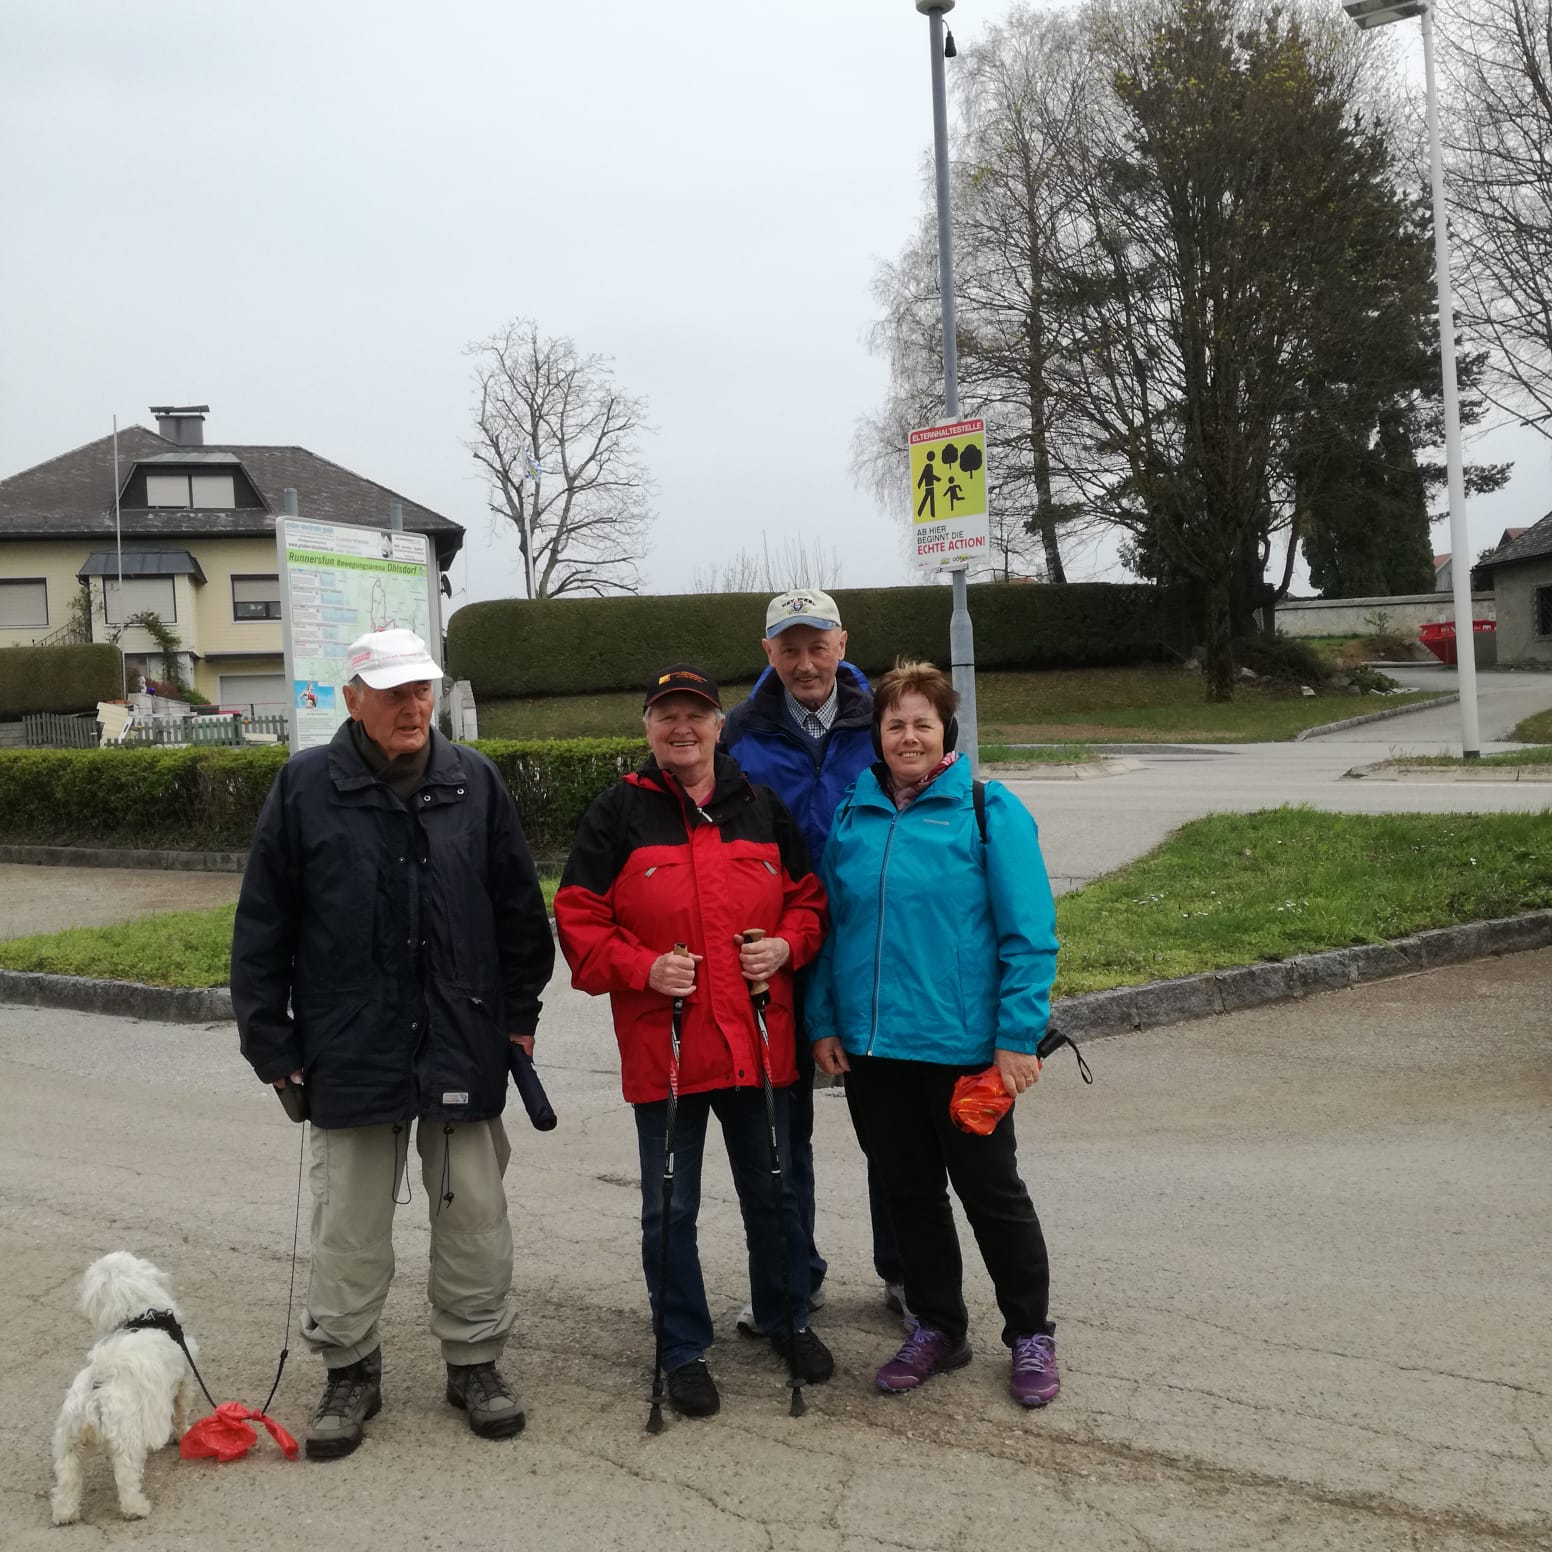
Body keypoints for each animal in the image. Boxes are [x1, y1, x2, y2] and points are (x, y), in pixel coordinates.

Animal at [50, 1252, 198, 1524]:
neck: (140, 1317)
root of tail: (96, 1389)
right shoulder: (185, 1378)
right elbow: (181, 1412)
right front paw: (183, 1434)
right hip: (126, 1441)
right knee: (127, 1480)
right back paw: (136, 1508)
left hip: (68, 1444)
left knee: (67, 1482)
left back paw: (65, 1513)